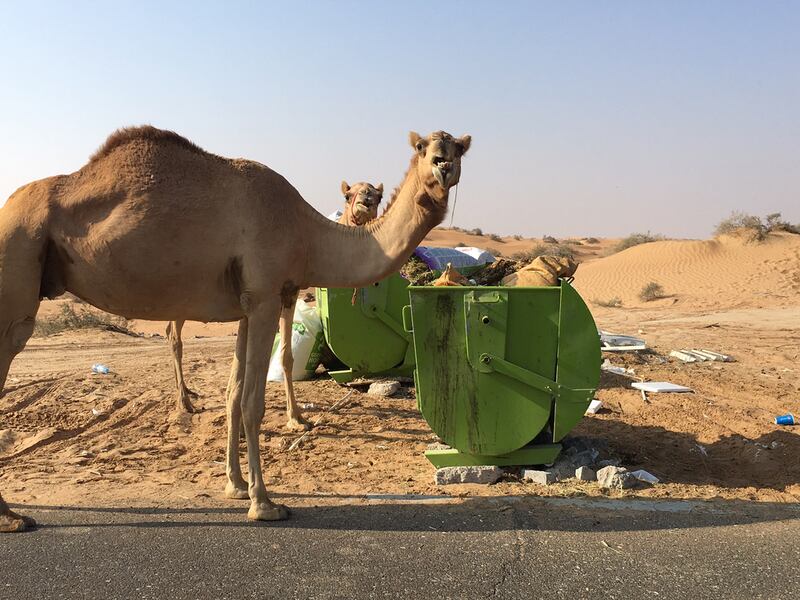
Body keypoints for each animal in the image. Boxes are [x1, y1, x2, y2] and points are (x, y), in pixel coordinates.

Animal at [166, 180, 384, 424]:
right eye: (348, 195)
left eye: (378, 195)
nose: (367, 200)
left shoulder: (289, 294)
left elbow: (286, 356)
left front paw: (295, 416)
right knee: (175, 338)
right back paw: (185, 401)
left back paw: (187, 392)